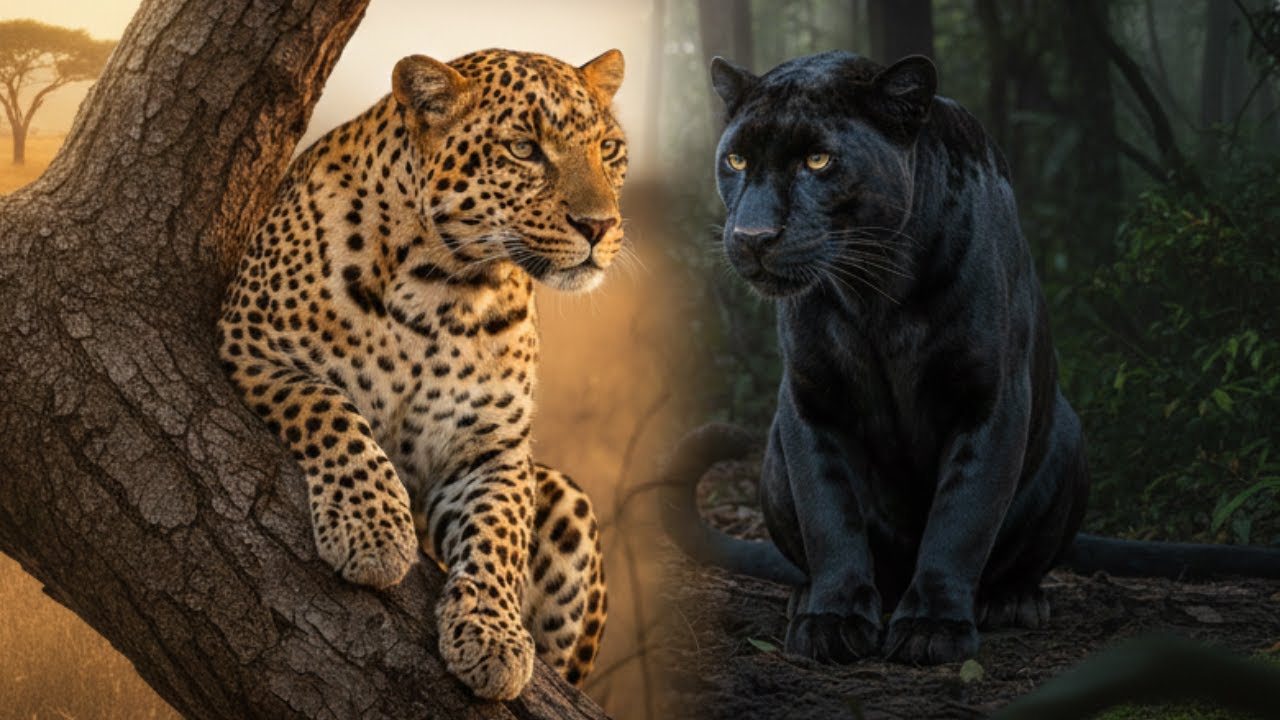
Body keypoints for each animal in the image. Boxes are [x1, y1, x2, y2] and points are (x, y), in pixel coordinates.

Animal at [216, 47, 627, 700]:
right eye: (524, 149)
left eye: (609, 149)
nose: (600, 226)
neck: (446, 287)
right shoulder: (253, 343)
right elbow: (332, 412)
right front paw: (372, 530)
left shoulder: (491, 449)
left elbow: (500, 531)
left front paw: (492, 636)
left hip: (567, 500)